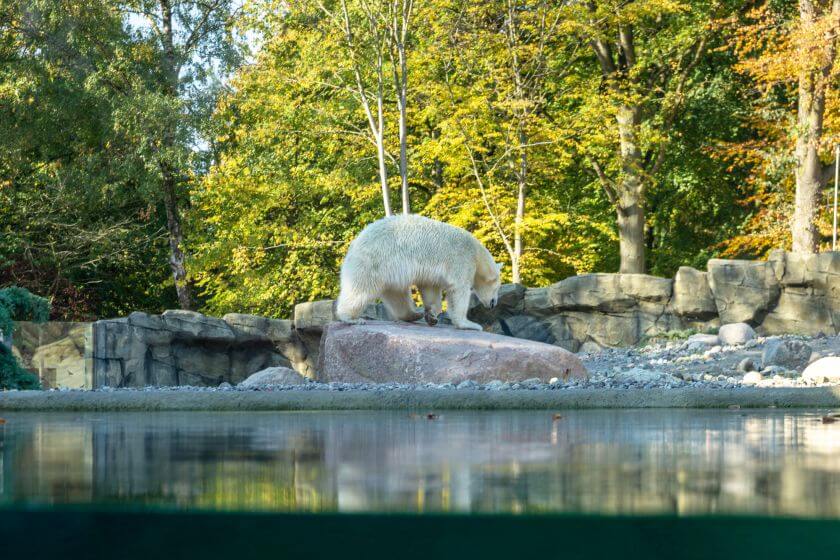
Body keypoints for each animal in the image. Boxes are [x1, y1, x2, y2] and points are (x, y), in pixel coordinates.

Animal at [334, 213, 502, 328]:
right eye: (497, 287)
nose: (493, 303)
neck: (477, 254)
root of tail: (354, 244)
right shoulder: (462, 258)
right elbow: (458, 289)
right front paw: (470, 324)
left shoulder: (432, 273)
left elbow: (430, 288)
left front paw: (432, 315)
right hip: (374, 261)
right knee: (361, 289)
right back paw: (351, 318)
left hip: (388, 271)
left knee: (397, 295)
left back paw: (413, 315)